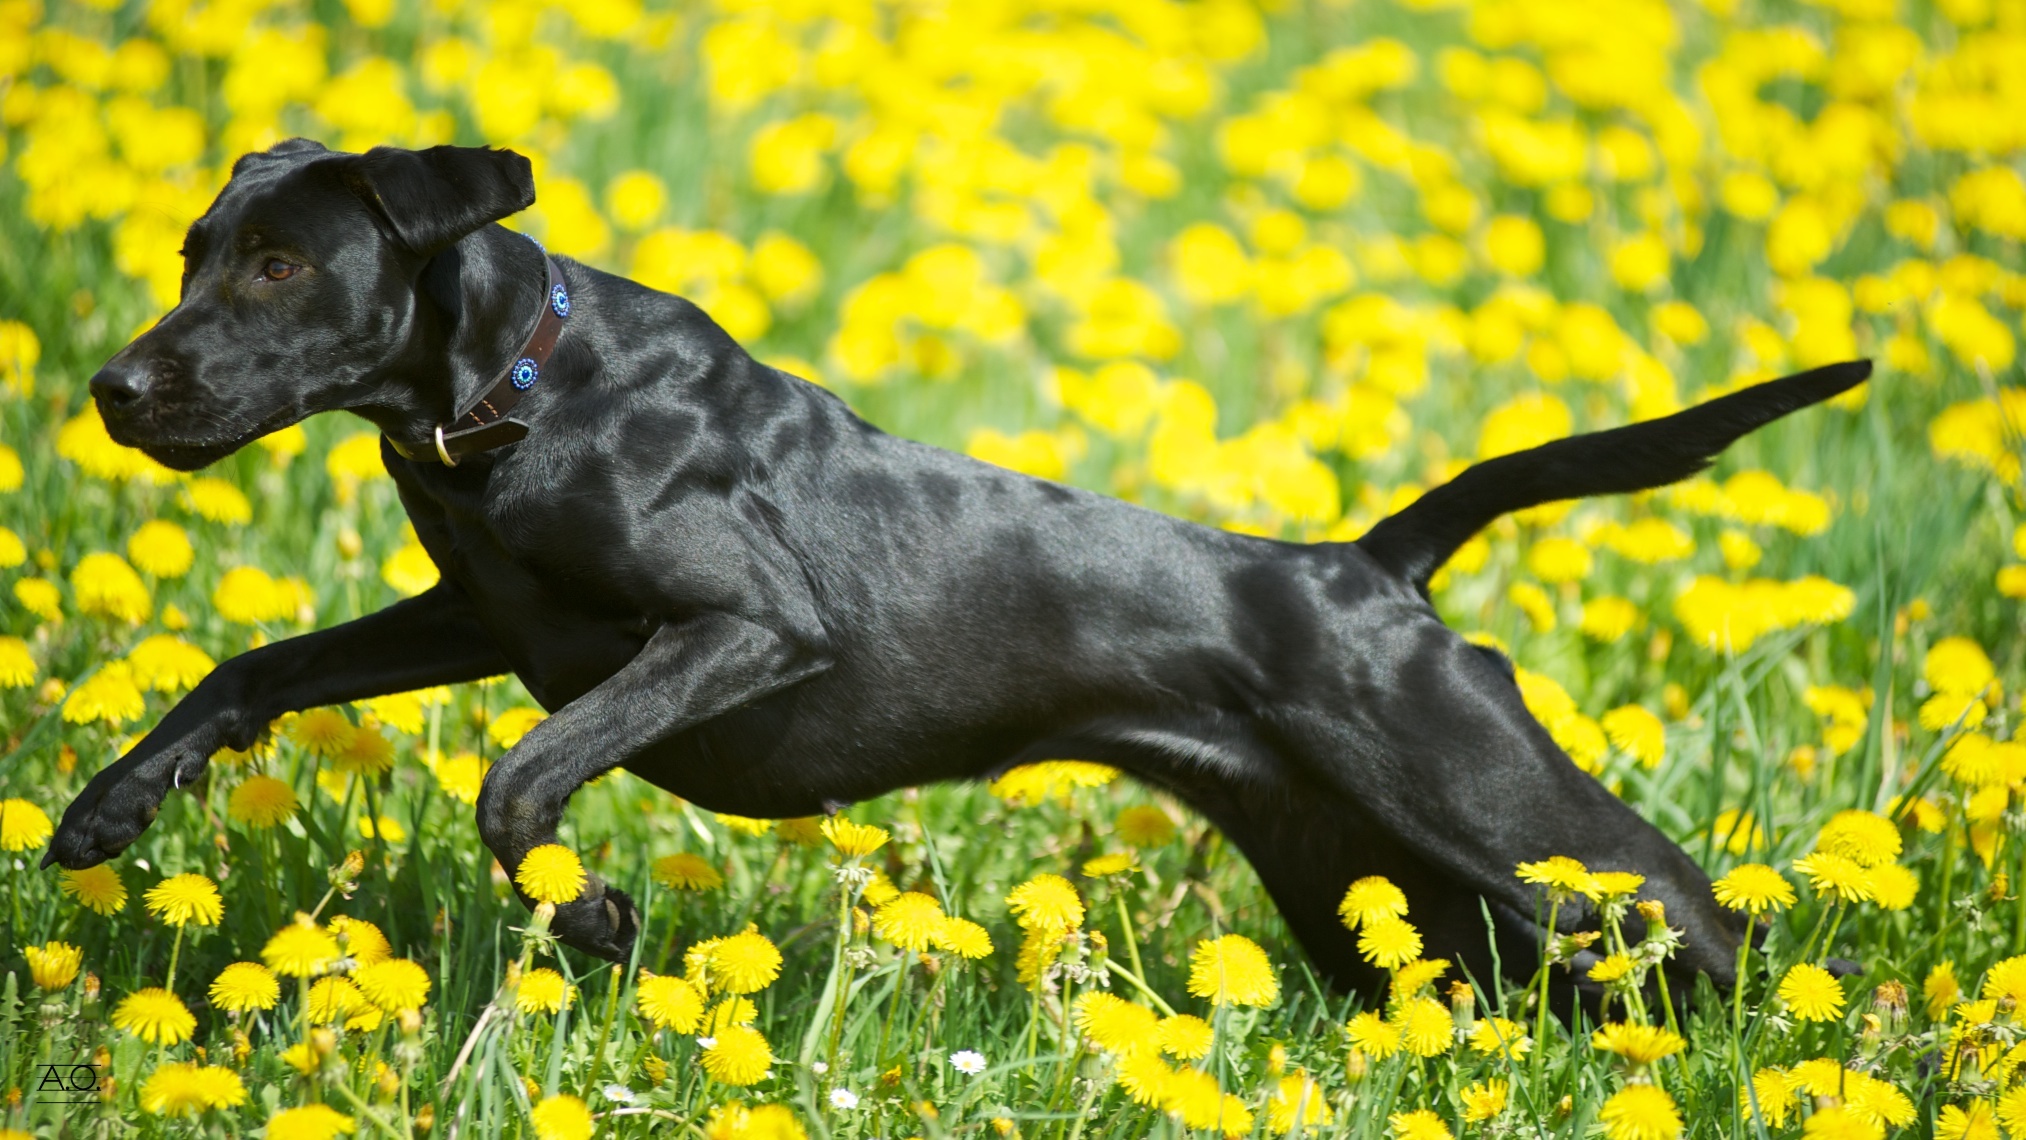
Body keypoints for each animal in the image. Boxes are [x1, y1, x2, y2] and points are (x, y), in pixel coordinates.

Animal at [43, 140, 1863, 1000]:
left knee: (1705, 918)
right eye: (194, 253)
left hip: (1495, 812)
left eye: (282, 267)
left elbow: (518, 780)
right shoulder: (482, 617)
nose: (113, 392)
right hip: (1379, 896)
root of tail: (1368, 565)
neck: (517, 392)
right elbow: (254, 669)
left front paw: (598, 917)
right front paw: (106, 812)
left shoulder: (742, 625)